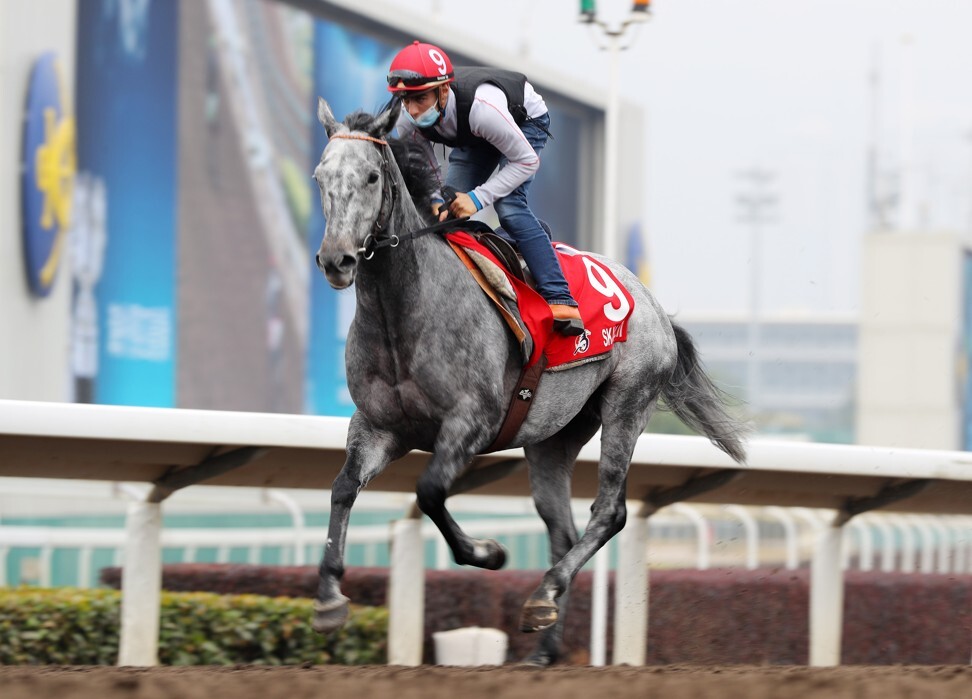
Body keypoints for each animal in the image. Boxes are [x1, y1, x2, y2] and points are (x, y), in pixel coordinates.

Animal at [312, 98, 744, 668]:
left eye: (370, 176)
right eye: (320, 177)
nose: (336, 259)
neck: (403, 312)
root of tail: (653, 305)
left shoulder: (471, 421)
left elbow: (429, 491)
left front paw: (487, 552)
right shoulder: (378, 426)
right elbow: (342, 488)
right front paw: (329, 598)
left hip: (628, 402)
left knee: (611, 511)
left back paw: (544, 595)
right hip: (552, 438)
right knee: (561, 527)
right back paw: (544, 643)